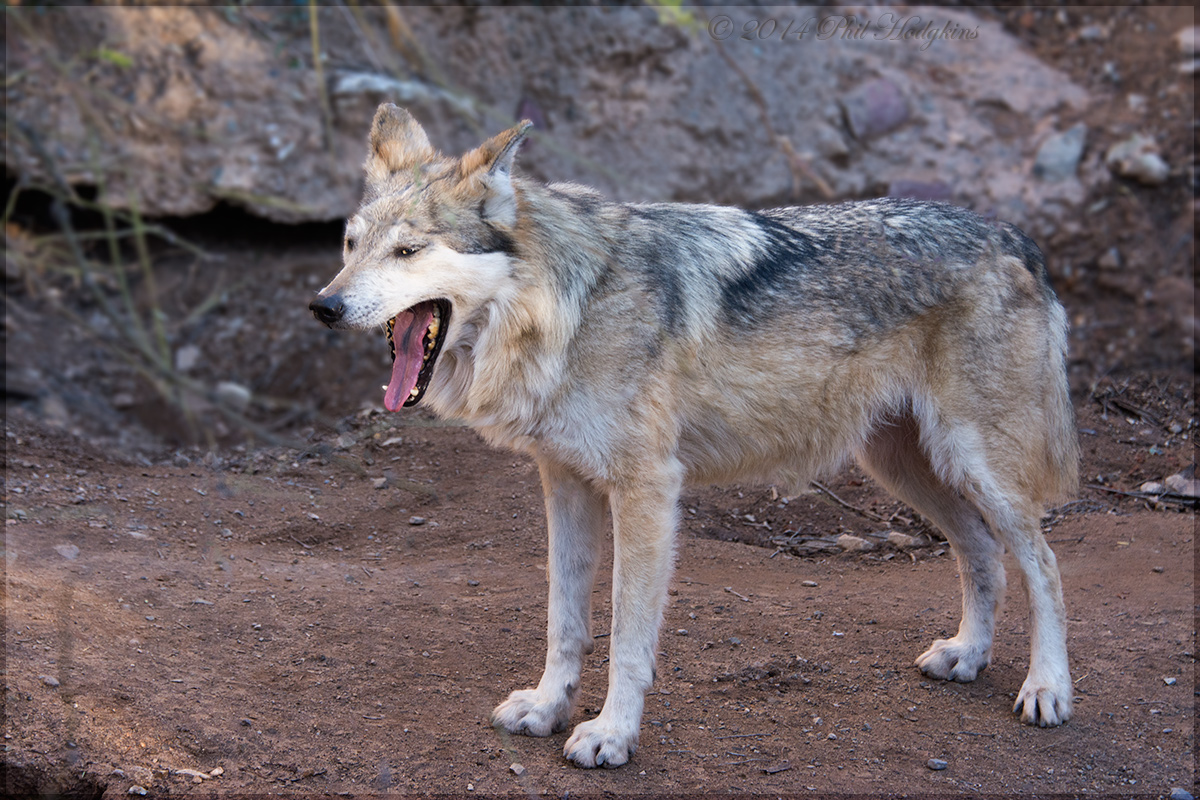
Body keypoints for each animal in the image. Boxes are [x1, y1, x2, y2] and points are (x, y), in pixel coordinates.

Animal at [310, 104, 1080, 768]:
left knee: (1043, 564)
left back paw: (1047, 690)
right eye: (350, 244)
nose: (324, 306)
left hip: (974, 465)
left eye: (409, 250)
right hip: (905, 467)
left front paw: (610, 735)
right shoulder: (564, 482)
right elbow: (565, 621)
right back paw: (967, 656)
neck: (569, 306)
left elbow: (626, 636)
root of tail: (1013, 236)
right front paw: (548, 708)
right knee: (981, 552)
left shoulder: (647, 490)